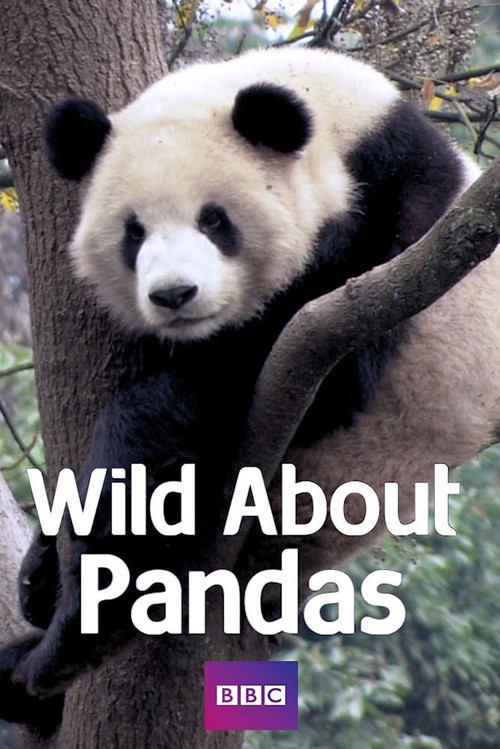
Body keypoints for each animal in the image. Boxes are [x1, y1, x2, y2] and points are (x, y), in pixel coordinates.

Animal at [1, 46, 500, 729]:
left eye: (215, 220)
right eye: (133, 232)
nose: (174, 296)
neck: (347, 126)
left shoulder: (395, 238)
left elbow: (302, 381)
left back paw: (61, 646)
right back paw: (38, 598)